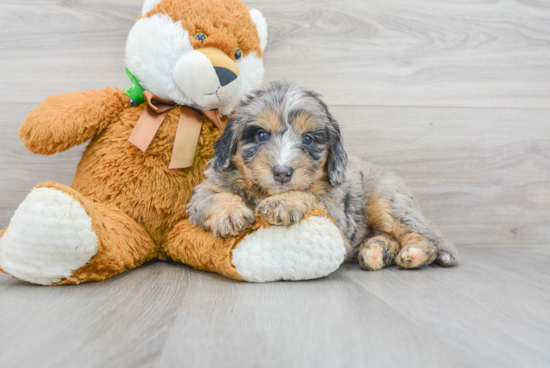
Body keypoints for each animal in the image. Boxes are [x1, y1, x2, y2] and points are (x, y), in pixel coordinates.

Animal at [190, 81, 462, 270]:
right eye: (261, 135)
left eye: (308, 139)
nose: (282, 173)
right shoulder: (204, 191)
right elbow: (214, 196)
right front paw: (231, 214)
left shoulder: (336, 214)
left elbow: (309, 195)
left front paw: (283, 202)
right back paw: (376, 251)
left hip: (387, 202)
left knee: (422, 236)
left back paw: (415, 253)